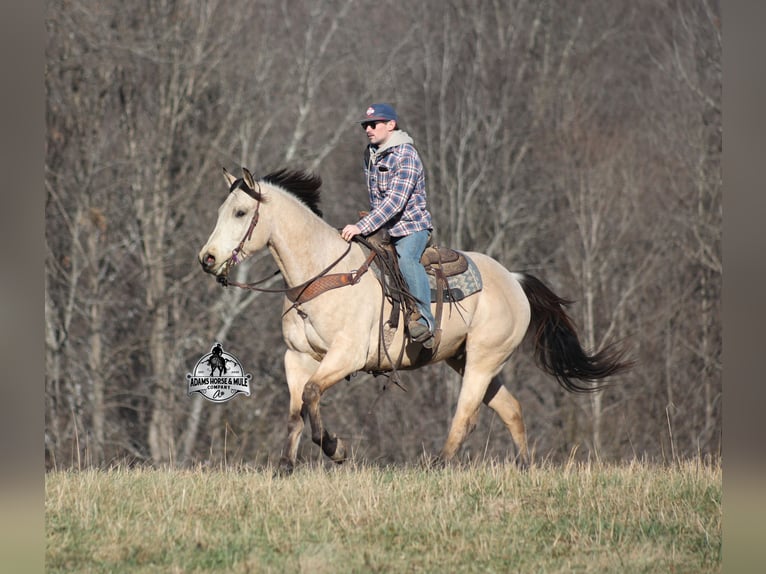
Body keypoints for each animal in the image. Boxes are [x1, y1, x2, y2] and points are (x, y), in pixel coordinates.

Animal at [198, 167, 631, 473]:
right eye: (219, 212)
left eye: (240, 212)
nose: (207, 258)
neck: (323, 274)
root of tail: (514, 279)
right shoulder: (297, 357)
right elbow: (295, 410)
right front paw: (285, 466)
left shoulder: (347, 355)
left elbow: (311, 395)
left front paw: (336, 448)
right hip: (465, 358)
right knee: (510, 408)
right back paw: (524, 467)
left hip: (483, 359)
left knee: (466, 413)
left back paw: (440, 463)